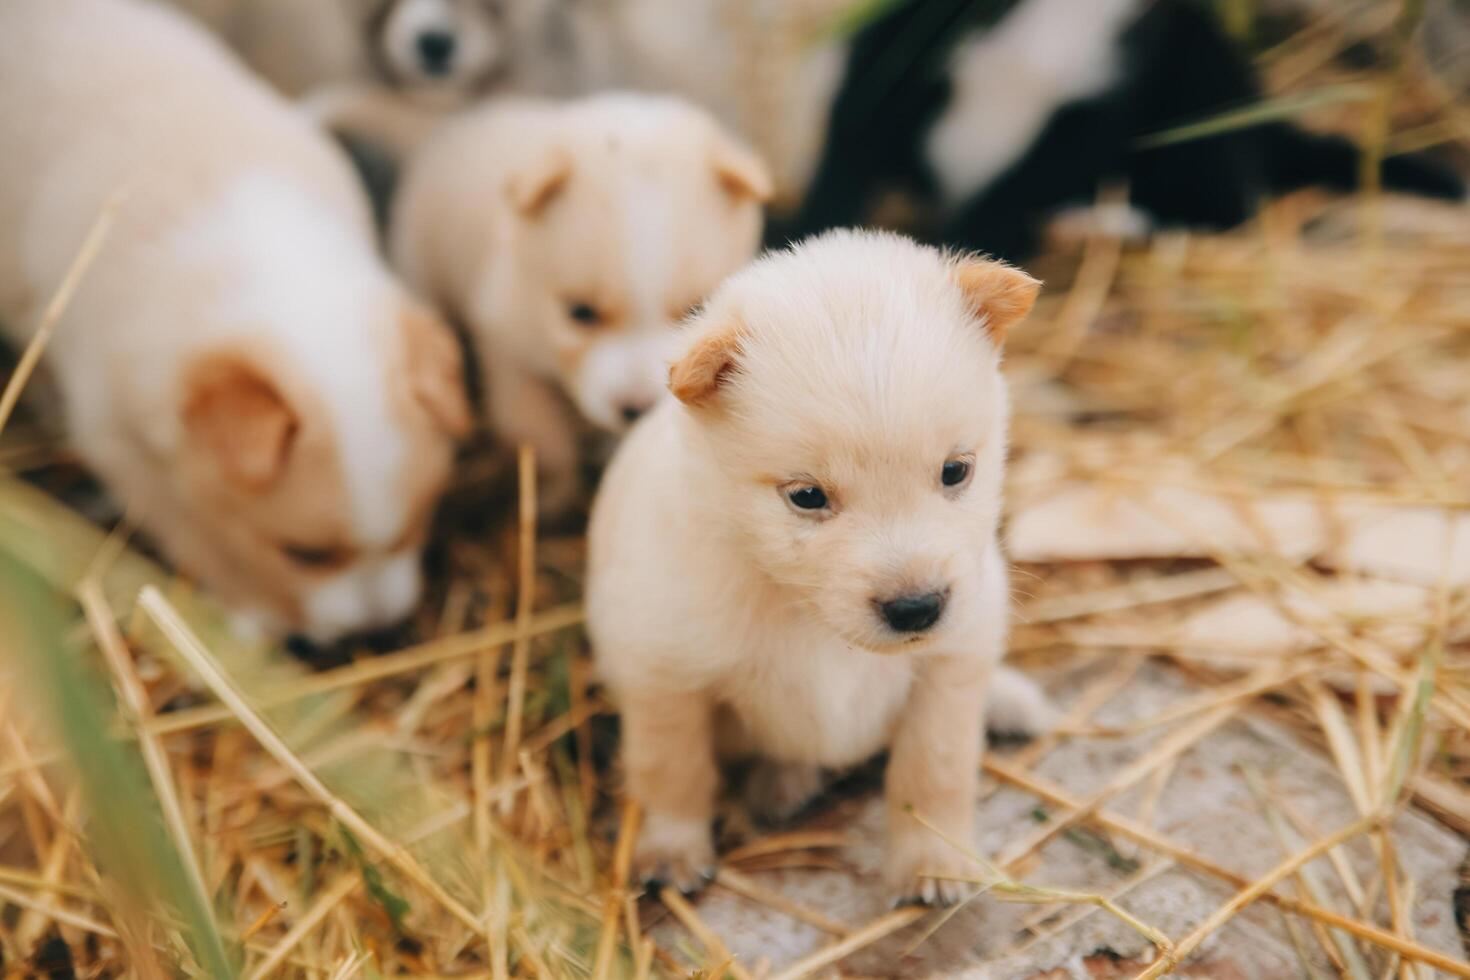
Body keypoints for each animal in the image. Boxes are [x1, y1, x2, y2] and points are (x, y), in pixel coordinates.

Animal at [0, 0, 467, 643]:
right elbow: (192, 528)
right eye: (304, 556)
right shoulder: (116, 439)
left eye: (417, 524)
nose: (372, 632)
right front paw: (254, 613)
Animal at [396, 94, 776, 514]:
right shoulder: (508, 349)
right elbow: (541, 433)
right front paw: (554, 495)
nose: (635, 408)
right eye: (580, 313)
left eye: (695, 309)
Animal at [579, 227, 1052, 905]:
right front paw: (670, 850)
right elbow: (672, 770)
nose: (917, 608)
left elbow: (933, 770)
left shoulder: (950, 664)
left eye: (956, 470)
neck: (802, 612)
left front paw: (934, 860)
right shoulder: (663, 676)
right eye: (806, 496)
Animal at [776, 0, 1464, 260]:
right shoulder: (896, 55)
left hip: (1199, 104)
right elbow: (849, 150)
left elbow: (1013, 194)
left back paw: (1100, 223)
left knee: (1227, 204)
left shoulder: (1106, 106)